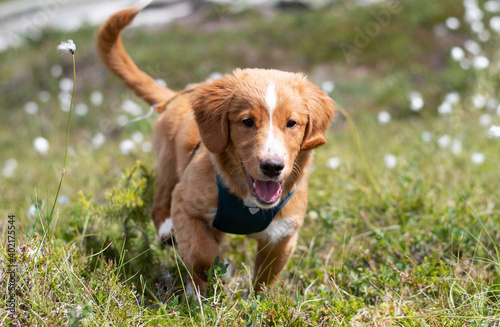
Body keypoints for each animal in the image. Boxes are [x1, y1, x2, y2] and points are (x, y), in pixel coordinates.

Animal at [97, 4, 334, 294]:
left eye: (292, 123)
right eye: (247, 122)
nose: (272, 167)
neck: (249, 203)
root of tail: (178, 95)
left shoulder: (283, 234)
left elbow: (266, 279)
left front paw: (261, 301)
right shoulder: (185, 204)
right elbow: (201, 254)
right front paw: (221, 270)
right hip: (168, 164)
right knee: (160, 203)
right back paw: (170, 238)